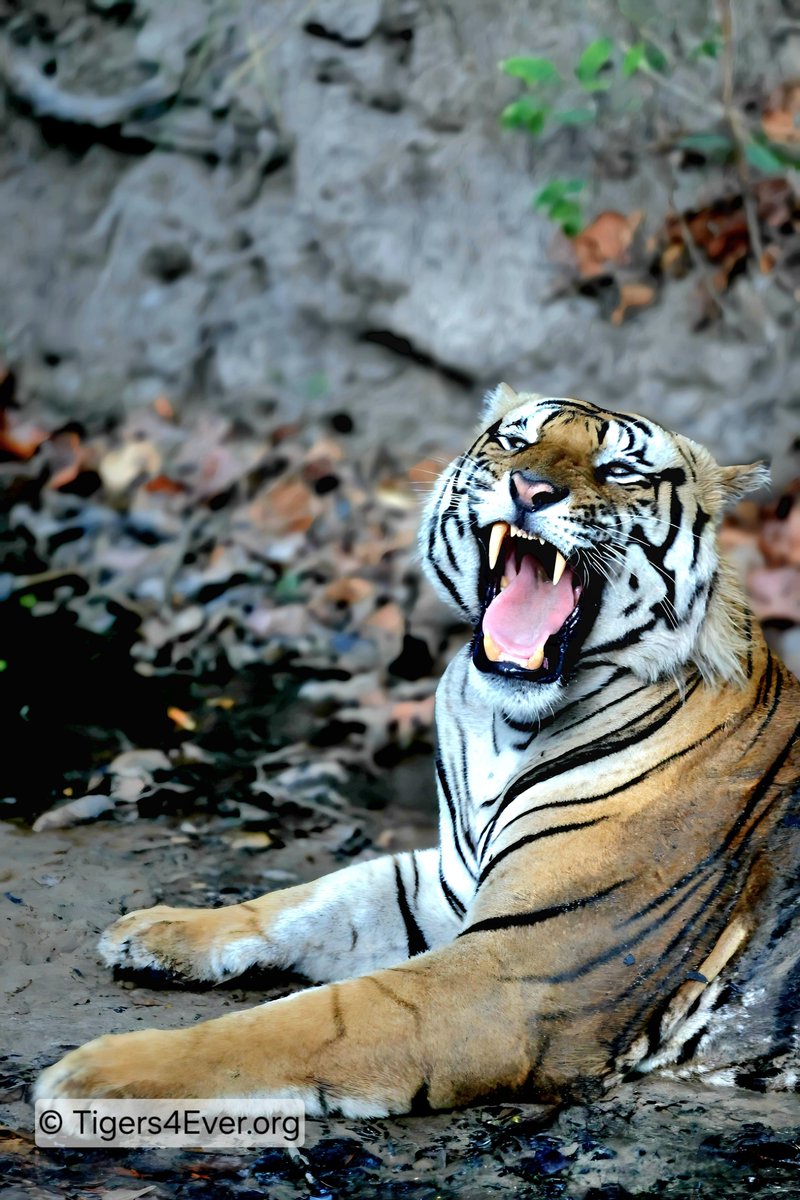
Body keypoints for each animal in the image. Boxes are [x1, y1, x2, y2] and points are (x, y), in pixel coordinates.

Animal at [35, 385, 800, 1114]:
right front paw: (157, 928)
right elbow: (310, 898)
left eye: (619, 470)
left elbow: (310, 1021)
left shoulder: (515, 973)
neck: (505, 727)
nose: (530, 489)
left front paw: (96, 1073)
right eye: (515, 441)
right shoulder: (446, 885)